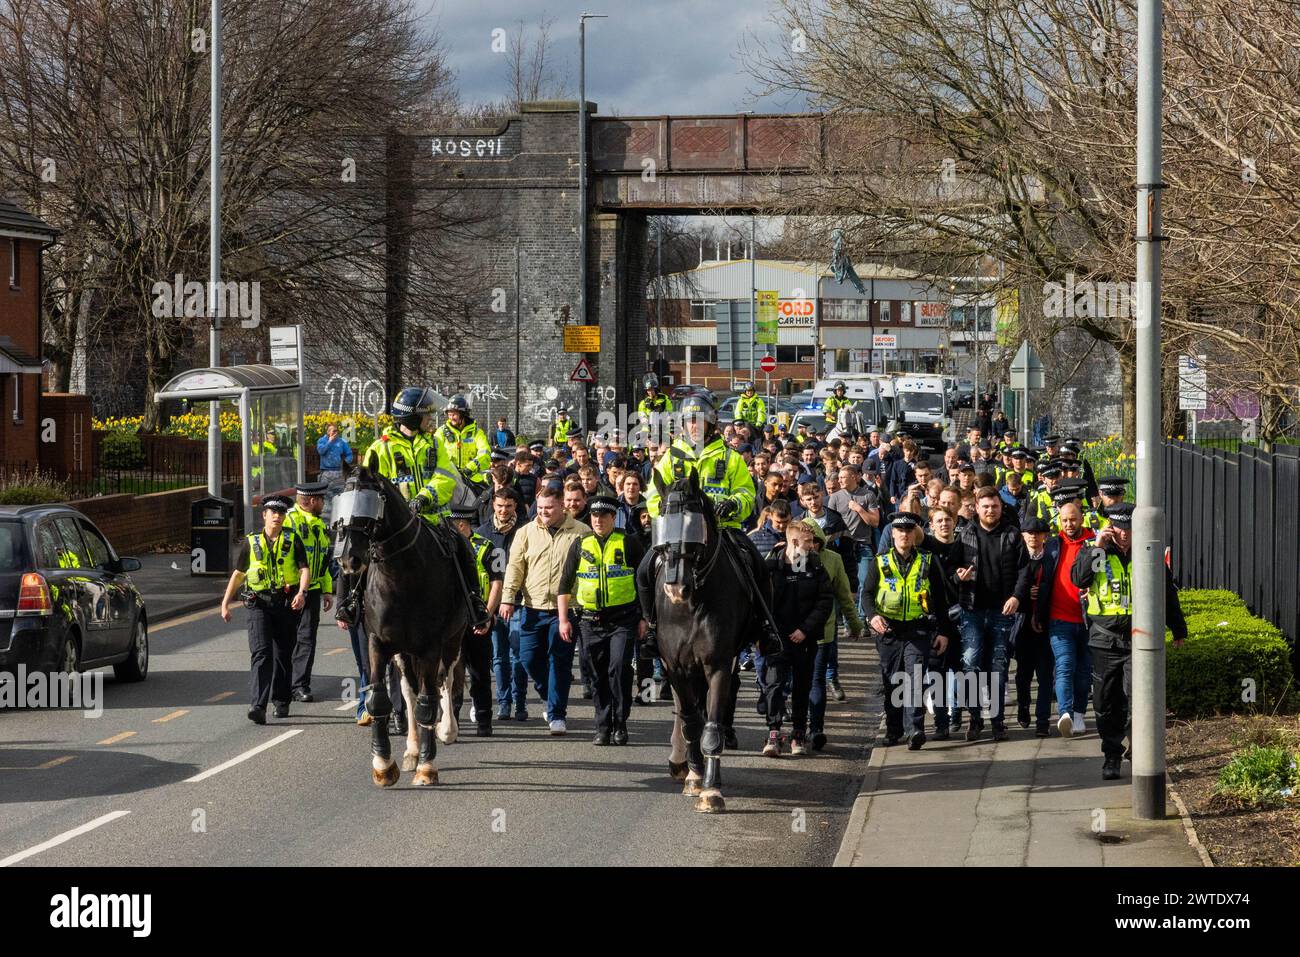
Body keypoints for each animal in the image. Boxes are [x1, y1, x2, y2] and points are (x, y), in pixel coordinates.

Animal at [335, 462, 473, 785]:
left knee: (446, 680)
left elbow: (429, 701)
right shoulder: (378, 643)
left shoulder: (431, 646)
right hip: (404, 652)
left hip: (453, 639)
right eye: (342, 500)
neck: (400, 575)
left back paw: (447, 730)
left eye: (370, 503)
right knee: (410, 692)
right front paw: (384, 764)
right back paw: (411, 749)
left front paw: (427, 766)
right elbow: (380, 700)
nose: (349, 559)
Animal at [647, 468, 754, 811]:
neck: (692, 605)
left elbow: (712, 723)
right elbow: (692, 721)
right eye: (662, 517)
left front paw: (711, 789)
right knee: (686, 710)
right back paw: (681, 762)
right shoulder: (675, 665)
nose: (675, 588)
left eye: (694, 522)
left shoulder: (718, 663)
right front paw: (694, 776)